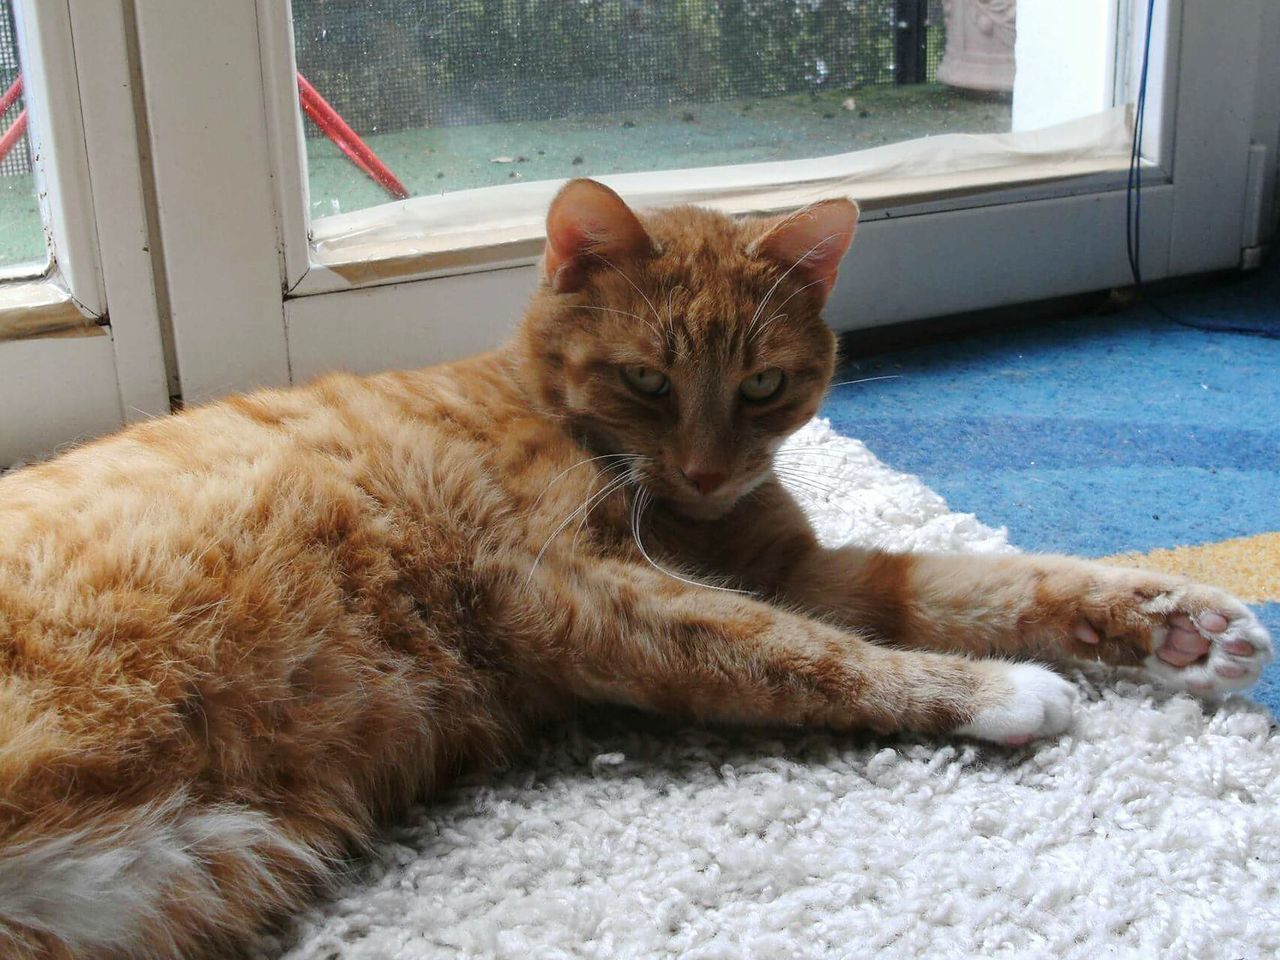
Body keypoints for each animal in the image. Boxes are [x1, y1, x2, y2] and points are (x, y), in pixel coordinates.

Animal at [0, 179, 1269, 957]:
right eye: (649, 381)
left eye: (762, 386)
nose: (707, 468)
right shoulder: (568, 590)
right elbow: (811, 656)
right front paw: (1000, 693)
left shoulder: (798, 567)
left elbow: (968, 588)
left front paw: (1175, 625)